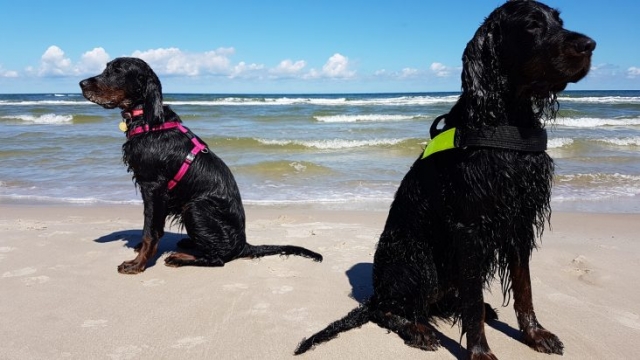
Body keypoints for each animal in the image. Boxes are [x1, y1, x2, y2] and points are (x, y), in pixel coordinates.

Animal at [79, 57, 322, 274]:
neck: (148, 119)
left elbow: (150, 231)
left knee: (218, 259)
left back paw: (180, 258)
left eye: (117, 70)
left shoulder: (153, 186)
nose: (81, 83)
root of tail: (243, 245)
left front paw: (137, 264)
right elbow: (153, 227)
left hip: (195, 207)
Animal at [298, 1, 592, 358]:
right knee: (389, 310)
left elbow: (524, 288)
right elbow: (473, 302)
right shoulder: (470, 227)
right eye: (532, 25)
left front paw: (535, 334)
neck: (505, 118)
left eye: (559, 21)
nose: (589, 45)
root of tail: (377, 292)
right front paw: (480, 352)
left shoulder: (519, 220)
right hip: (419, 258)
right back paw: (419, 330)